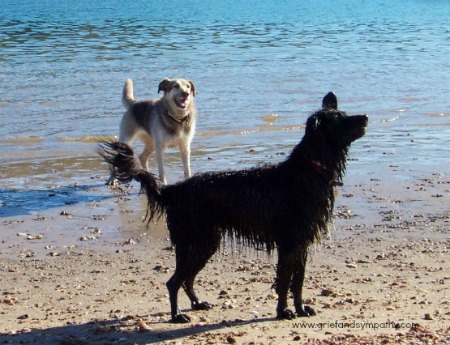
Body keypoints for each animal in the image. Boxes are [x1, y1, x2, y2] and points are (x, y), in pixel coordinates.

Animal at [101, 92, 370, 322]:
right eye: (338, 120)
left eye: (344, 114)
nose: (366, 117)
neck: (308, 170)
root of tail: (173, 190)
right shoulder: (289, 242)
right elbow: (285, 280)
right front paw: (284, 311)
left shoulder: (301, 243)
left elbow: (298, 281)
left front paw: (301, 308)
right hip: (195, 242)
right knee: (174, 281)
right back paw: (177, 315)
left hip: (205, 243)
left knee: (187, 279)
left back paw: (197, 304)